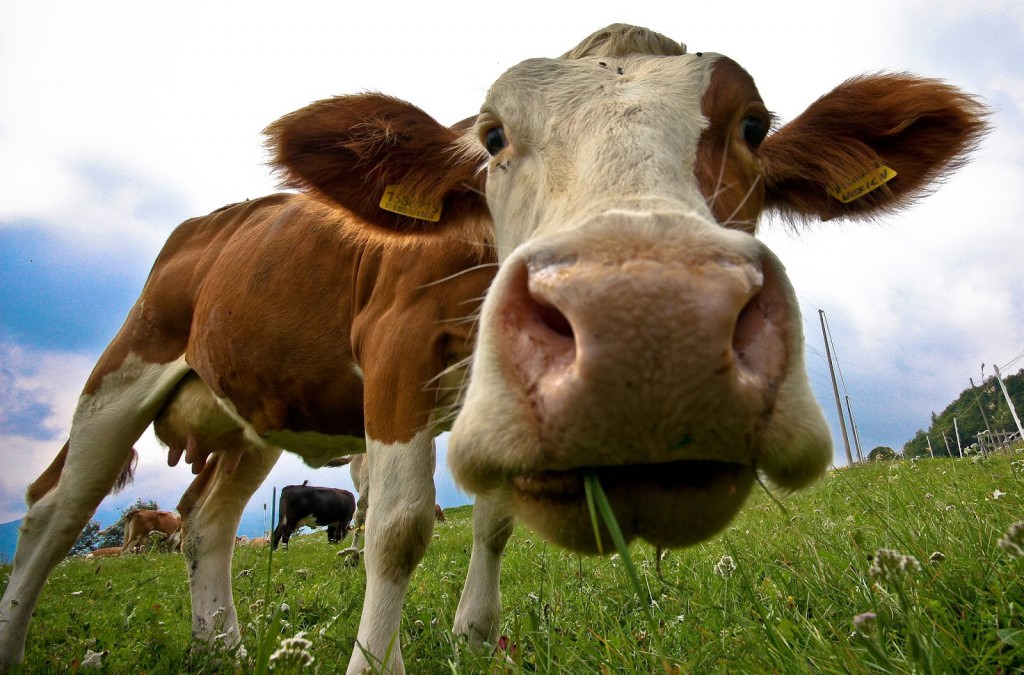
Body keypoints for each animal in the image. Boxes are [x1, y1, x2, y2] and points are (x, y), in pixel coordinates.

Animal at [0, 24, 986, 675]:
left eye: (752, 126)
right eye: (492, 135)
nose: (649, 320)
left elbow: (495, 517)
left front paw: (474, 634)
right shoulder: (394, 355)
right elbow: (398, 529)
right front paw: (377, 662)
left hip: (250, 419)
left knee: (207, 519)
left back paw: (226, 646)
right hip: (129, 361)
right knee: (56, 508)